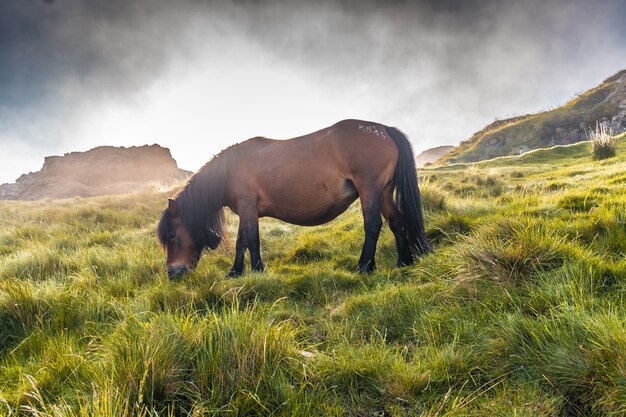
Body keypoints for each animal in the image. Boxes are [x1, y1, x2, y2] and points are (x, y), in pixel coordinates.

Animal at [156, 118, 428, 278]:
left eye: (173, 236)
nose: (172, 273)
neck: (229, 170)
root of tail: (384, 130)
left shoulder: (248, 206)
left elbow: (251, 239)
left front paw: (257, 270)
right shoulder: (246, 210)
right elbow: (242, 241)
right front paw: (235, 272)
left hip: (369, 190)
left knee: (373, 225)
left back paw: (364, 266)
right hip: (384, 192)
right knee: (397, 222)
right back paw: (403, 262)